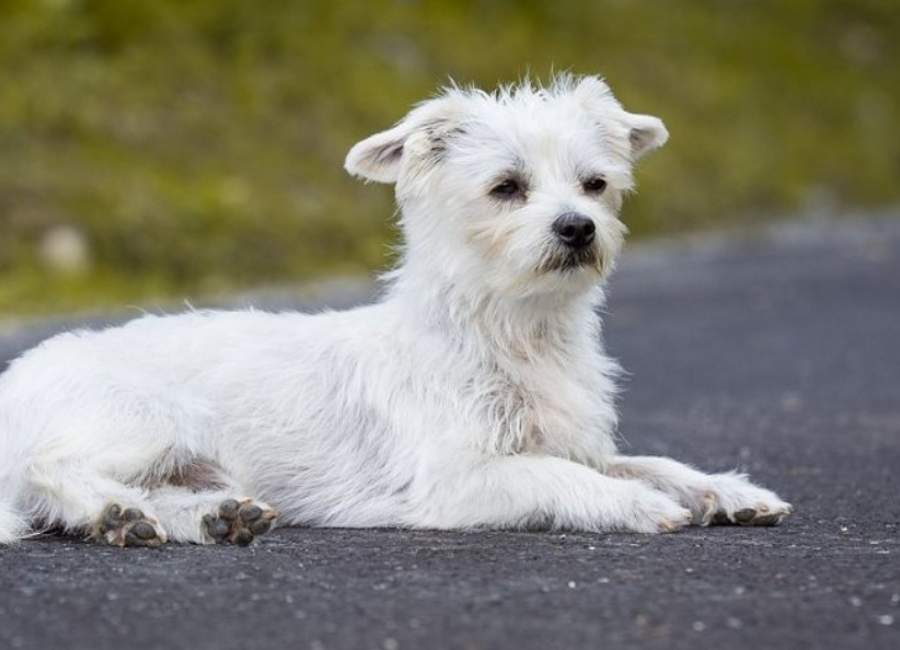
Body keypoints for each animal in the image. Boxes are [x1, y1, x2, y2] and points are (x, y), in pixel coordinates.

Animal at [0, 73, 788, 544]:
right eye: (506, 187)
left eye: (595, 185)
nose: (578, 228)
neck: (510, 332)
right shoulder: (457, 479)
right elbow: (559, 477)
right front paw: (634, 506)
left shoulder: (576, 443)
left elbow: (647, 461)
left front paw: (724, 489)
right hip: (147, 419)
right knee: (49, 474)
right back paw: (114, 514)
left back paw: (201, 517)